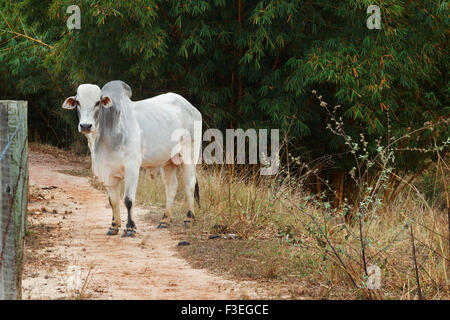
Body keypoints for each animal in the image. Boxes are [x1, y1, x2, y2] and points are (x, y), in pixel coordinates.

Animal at [62, 80, 202, 235]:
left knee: (189, 184)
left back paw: (189, 218)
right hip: (168, 162)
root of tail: (190, 107)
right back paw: (164, 220)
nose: (86, 125)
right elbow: (113, 201)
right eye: (78, 102)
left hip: (190, 155)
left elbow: (128, 200)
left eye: (97, 102)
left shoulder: (132, 168)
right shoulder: (108, 172)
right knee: (171, 187)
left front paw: (130, 228)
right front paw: (113, 226)